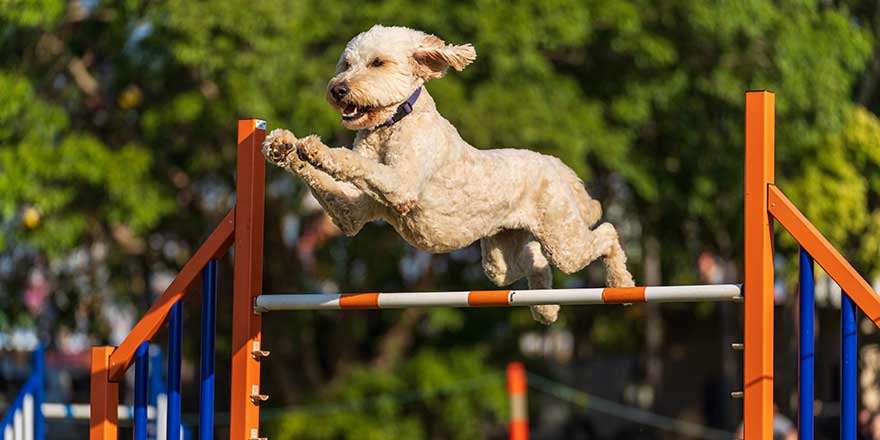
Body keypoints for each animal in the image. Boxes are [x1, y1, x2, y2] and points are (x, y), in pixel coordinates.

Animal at [262, 26, 632, 324]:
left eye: (377, 63)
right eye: (346, 64)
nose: (337, 89)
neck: (394, 123)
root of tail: (553, 164)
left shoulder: (400, 185)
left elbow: (354, 163)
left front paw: (316, 148)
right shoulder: (351, 212)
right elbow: (332, 183)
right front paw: (282, 145)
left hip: (562, 238)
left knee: (607, 233)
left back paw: (622, 284)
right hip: (500, 258)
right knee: (534, 262)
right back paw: (546, 309)